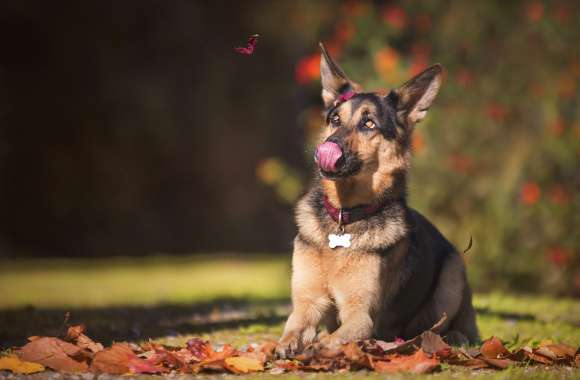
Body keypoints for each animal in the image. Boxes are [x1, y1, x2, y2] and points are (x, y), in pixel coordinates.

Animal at [278, 44, 480, 356]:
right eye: (335, 120)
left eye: (369, 123)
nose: (327, 148)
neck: (345, 217)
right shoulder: (307, 304)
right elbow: (293, 328)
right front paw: (289, 344)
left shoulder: (360, 316)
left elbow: (334, 337)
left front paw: (318, 347)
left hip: (453, 273)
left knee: (454, 326)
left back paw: (453, 337)